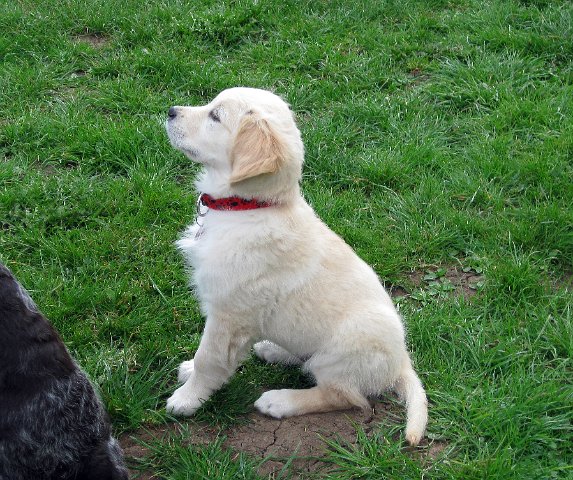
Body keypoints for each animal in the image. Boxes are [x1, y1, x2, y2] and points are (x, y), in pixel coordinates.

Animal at [165, 87, 428, 446]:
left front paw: (188, 398)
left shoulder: (228, 314)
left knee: (345, 396)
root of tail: (401, 362)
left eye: (215, 116)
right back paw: (274, 351)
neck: (251, 207)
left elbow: (211, 357)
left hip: (342, 351)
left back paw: (281, 400)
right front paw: (190, 371)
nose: (170, 111)